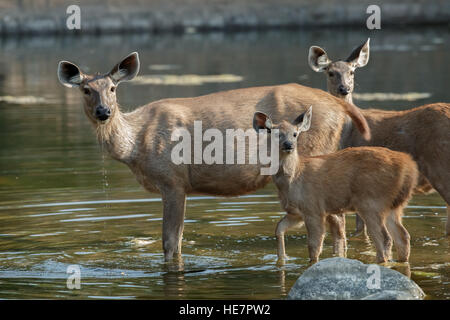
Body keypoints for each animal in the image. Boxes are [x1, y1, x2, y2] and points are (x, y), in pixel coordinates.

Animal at [57, 52, 372, 262]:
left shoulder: (173, 179)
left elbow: (170, 242)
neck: (136, 144)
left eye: (113, 88)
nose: (104, 111)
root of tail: (338, 105)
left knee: (338, 222)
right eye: (86, 89)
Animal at [253, 107, 418, 262]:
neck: (293, 180)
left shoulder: (313, 208)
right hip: (393, 206)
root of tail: (409, 167)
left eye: (295, 134)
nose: (288, 145)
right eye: (276, 134)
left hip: (371, 201)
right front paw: (282, 258)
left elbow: (314, 247)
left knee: (385, 238)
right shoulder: (296, 212)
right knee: (403, 236)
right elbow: (279, 228)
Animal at [308, 38, 450, 236]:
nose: (344, 88)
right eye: (330, 73)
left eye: (352, 71)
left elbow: (360, 228)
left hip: (440, 164)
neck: (347, 132)